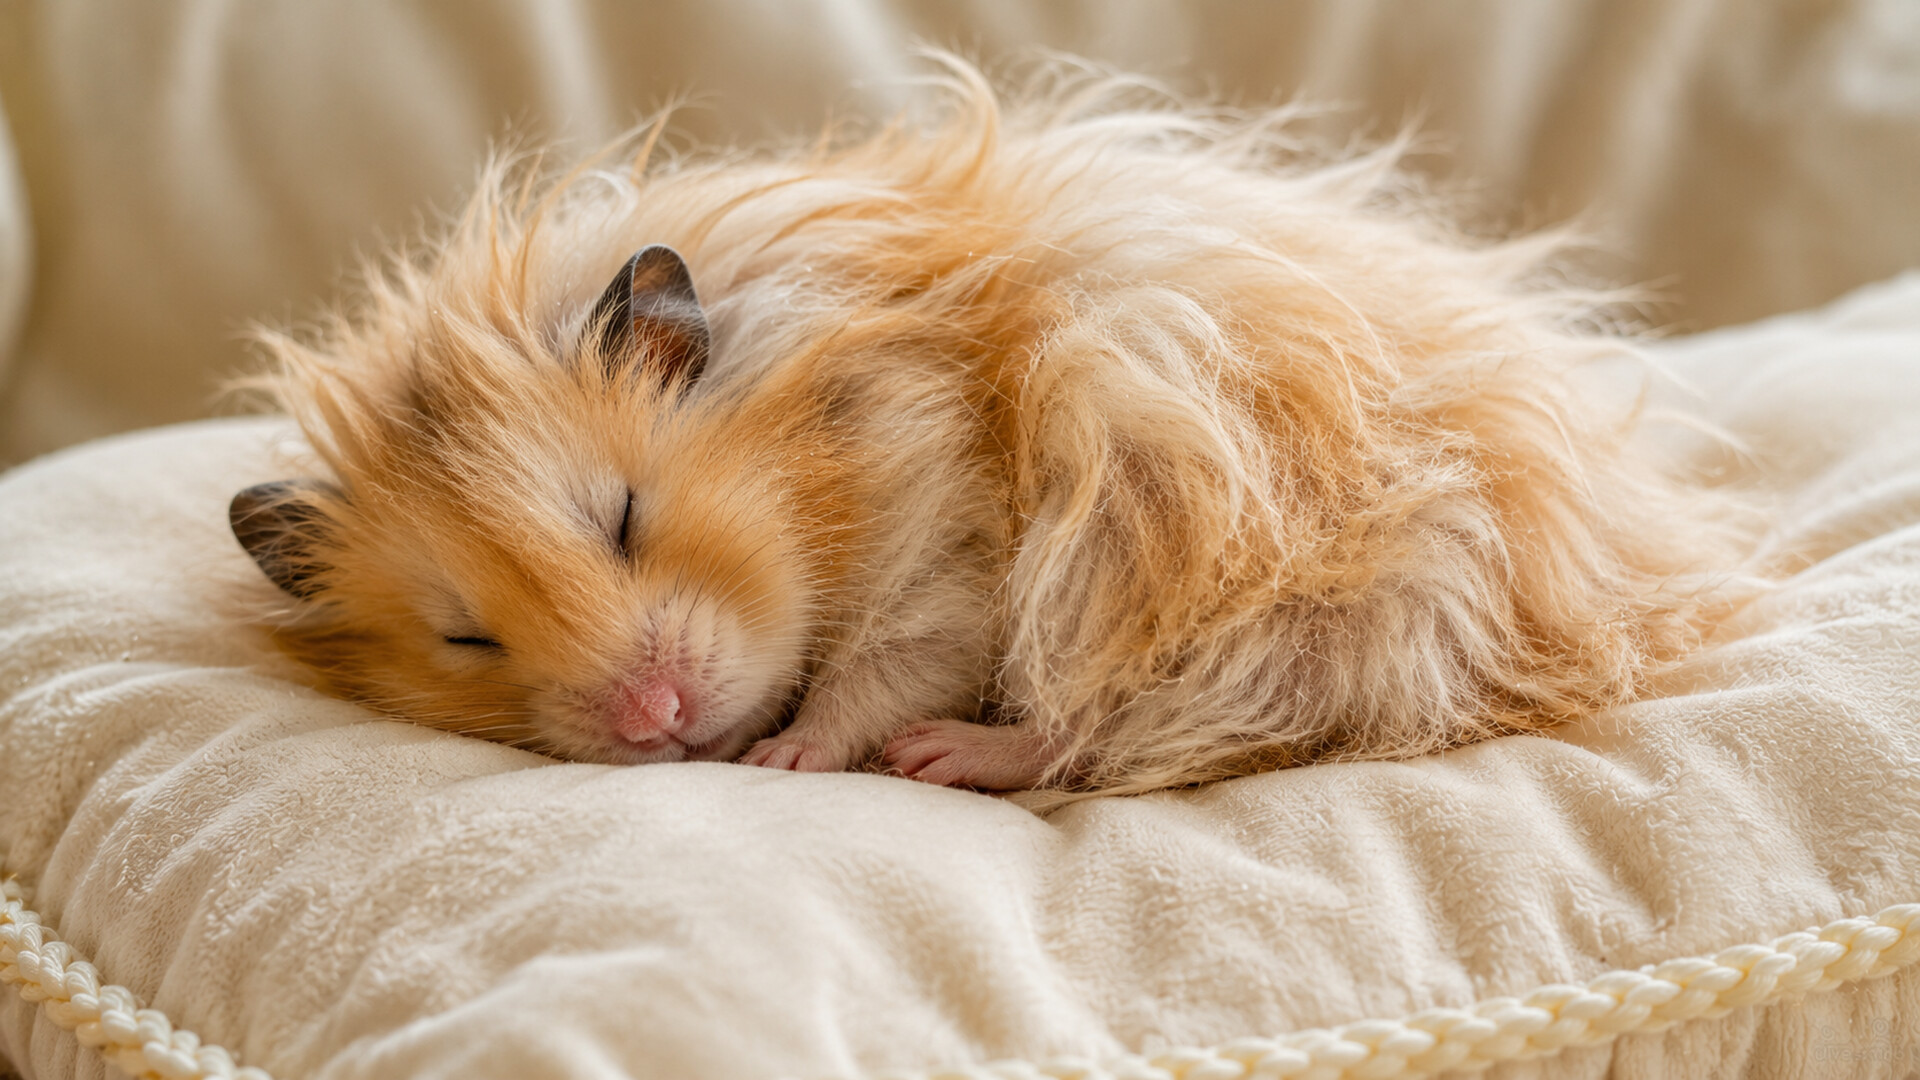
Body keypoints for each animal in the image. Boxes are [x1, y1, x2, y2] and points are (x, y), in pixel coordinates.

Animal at [230, 57, 1750, 802]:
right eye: (465, 639)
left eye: (623, 515)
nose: (651, 721)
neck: (818, 476)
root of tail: (1619, 609)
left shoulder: (954, 538)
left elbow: (887, 667)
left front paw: (786, 759)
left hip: (1281, 593)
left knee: (1141, 732)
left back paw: (947, 760)